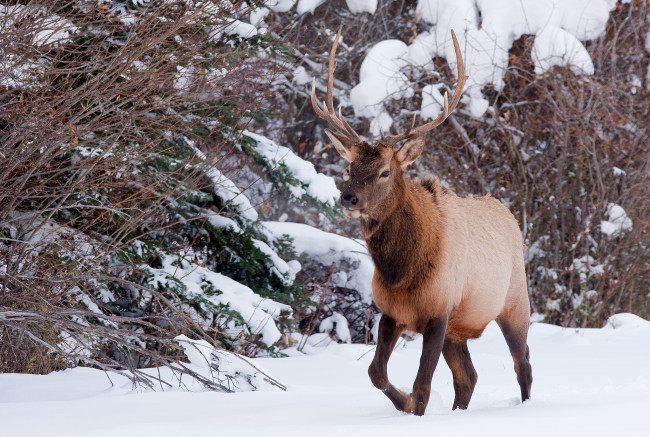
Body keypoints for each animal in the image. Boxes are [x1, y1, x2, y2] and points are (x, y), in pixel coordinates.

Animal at [310, 29, 532, 414]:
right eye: (349, 168)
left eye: (385, 171)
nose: (348, 198)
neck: (400, 271)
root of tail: (510, 218)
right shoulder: (391, 312)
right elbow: (376, 373)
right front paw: (402, 403)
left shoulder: (438, 311)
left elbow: (422, 386)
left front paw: (412, 405)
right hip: (459, 330)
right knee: (468, 377)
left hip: (516, 303)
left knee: (524, 365)